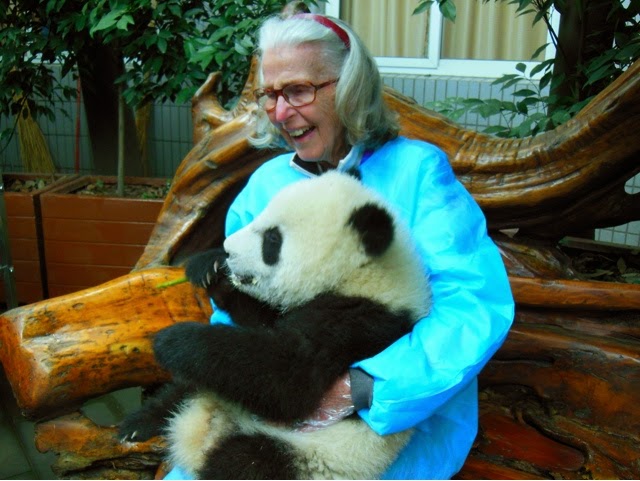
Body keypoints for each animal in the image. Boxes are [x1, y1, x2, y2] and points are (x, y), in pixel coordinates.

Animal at [119, 171, 431, 479]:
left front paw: (173, 340)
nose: (228, 250)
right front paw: (210, 267)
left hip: (315, 455)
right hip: (212, 390)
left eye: (272, 239)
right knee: (185, 388)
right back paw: (137, 425)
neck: (364, 274)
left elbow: (288, 377)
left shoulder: (361, 322)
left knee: (246, 462)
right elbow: (261, 324)